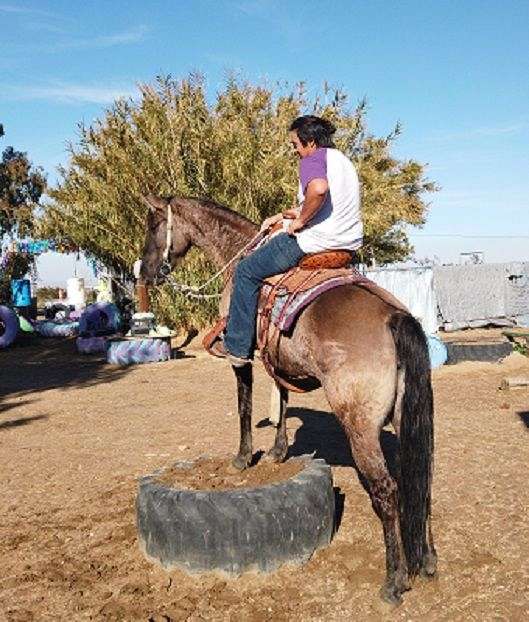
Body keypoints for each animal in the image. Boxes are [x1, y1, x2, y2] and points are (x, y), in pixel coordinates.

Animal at [138, 195, 436, 604]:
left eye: (153, 224)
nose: (144, 272)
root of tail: (394, 318)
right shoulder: (274, 356)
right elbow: (280, 397)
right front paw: (278, 452)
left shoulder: (241, 355)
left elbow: (244, 404)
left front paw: (242, 458)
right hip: (406, 419)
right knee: (418, 480)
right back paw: (428, 561)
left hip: (360, 427)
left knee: (387, 491)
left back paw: (394, 581)